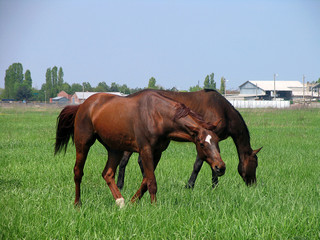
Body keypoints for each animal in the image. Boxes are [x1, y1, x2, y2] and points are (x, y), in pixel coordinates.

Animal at [54, 91, 225, 207]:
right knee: (78, 172)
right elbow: (151, 181)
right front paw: (154, 207)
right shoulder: (145, 150)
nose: (220, 167)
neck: (157, 115)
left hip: (115, 149)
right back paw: (78, 204)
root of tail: (82, 105)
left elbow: (145, 180)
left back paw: (120, 202)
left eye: (217, 141)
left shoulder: (157, 153)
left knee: (107, 174)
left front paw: (132, 202)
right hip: (83, 144)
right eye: (202, 144)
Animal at [117, 89, 262, 190]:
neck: (223, 111)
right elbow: (198, 165)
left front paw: (213, 185)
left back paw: (121, 184)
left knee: (125, 161)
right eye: (255, 163)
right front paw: (191, 186)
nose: (253, 184)